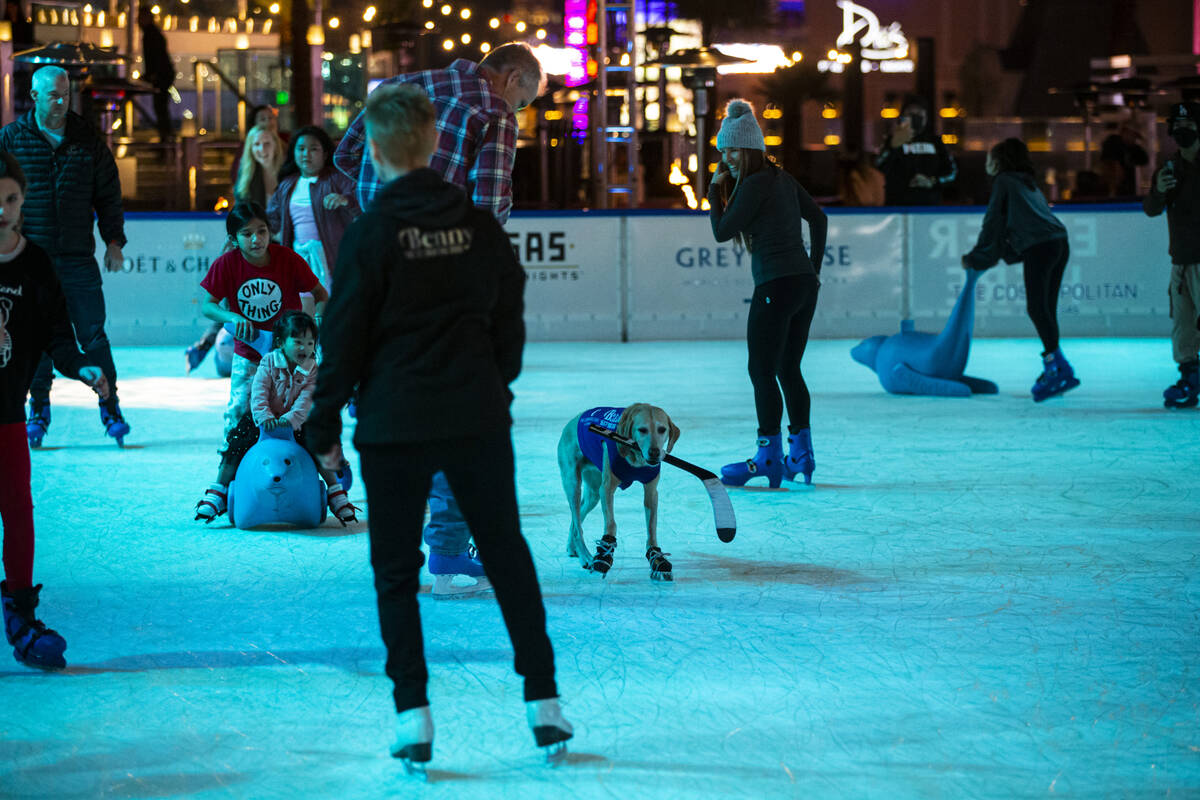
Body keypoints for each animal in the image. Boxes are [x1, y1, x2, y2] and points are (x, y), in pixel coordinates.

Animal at [556, 407, 681, 582]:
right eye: (642, 430)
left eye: (662, 429)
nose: (654, 452)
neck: (636, 458)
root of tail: (573, 420)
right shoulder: (607, 489)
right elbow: (611, 523)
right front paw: (605, 554)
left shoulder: (651, 492)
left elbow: (651, 527)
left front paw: (656, 558)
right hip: (573, 483)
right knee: (577, 522)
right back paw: (585, 555)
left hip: (593, 492)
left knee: (578, 517)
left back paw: (571, 547)